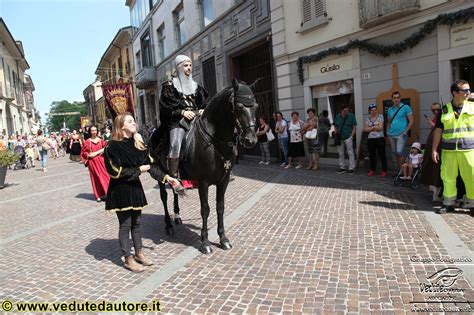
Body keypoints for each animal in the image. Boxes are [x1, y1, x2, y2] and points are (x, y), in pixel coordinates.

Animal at [149, 79, 258, 254]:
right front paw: (205, 241)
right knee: (164, 197)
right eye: (239, 107)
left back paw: (177, 216)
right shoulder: (203, 182)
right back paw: (168, 225)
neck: (214, 140)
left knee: (175, 190)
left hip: (174, 176)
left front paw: (223, 238)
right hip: (160, 175)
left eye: (256, 107)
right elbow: (205, 209)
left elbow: (220, 206)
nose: (250, 140)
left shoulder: (223, 181)